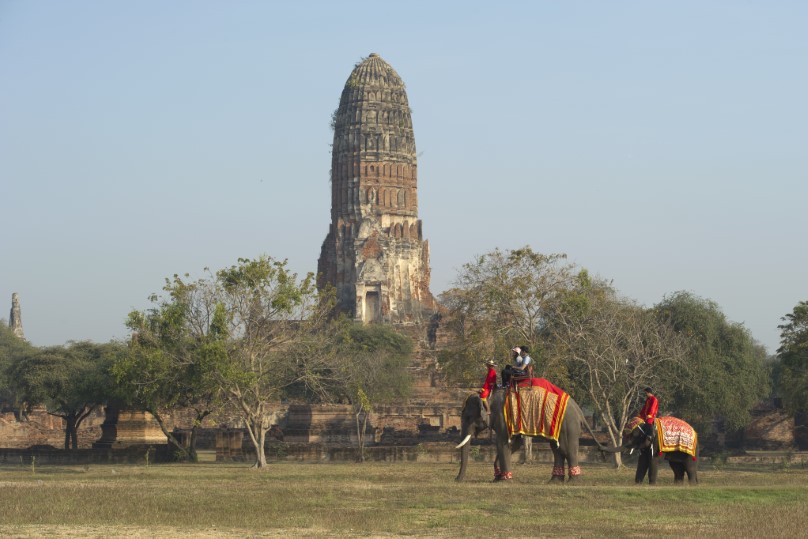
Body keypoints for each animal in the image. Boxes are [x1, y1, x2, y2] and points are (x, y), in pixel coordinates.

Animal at [454, 386, 600, 484]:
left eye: (468, 417)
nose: (456, 480)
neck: (488, 396)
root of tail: (580, 412)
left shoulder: (503, 418)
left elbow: (503, 444)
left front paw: (503, 481)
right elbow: (515, 444)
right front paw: (497, 478)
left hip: (569, 425)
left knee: (567, 450)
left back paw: (573, 482)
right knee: (557, 450)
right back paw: (554, 481)